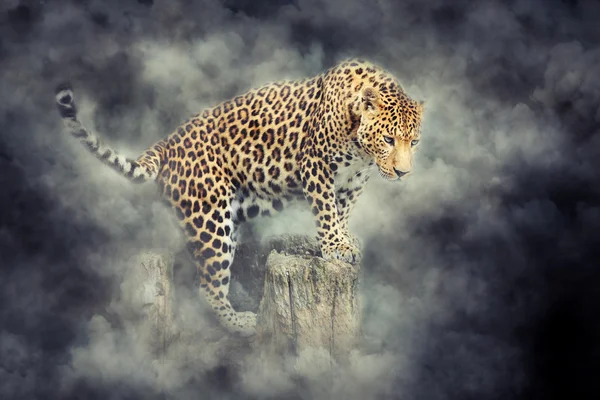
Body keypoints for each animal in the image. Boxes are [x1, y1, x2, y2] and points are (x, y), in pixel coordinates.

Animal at [54, 58, 424, 334]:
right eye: (389, 139)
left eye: (414, 142)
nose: (404, 173)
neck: (360, 148)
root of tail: (167, 142)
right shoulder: (316, 165)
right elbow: (327, 210)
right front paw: (334, 246)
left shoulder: (354, 179)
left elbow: (342, 210)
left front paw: (342, 242)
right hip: (209, 220)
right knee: (208, 285)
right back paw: (243, 324)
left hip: (228, 220)